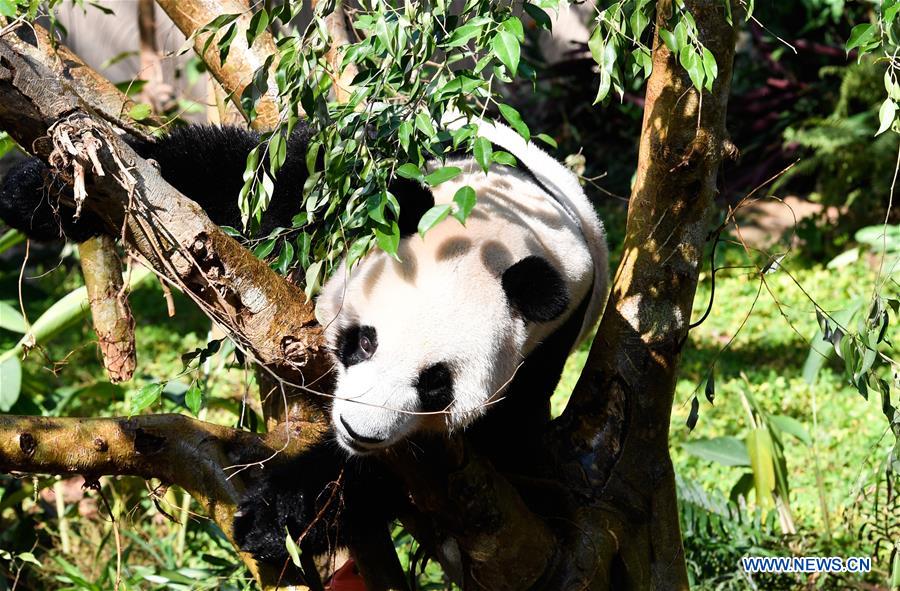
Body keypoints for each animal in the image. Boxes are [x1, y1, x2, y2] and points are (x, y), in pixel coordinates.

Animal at [0, 116, 608, 578]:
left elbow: (390, 470)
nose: (360, 429)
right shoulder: (353, 175)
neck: (499, 227)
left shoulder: (539, 355)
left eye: (436, 383)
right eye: (365, 341)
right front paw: (42, 191)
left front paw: (274, 517)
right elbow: (231, 177)